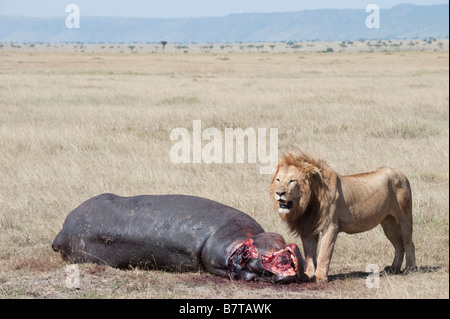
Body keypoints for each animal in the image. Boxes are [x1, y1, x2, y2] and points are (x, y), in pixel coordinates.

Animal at [268, 150, 416, 282]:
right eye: (278, 180)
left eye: (292, 181)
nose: (279, 193)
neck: (308, 203)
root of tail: (401, 174)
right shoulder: (308, 228)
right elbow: (309, 253)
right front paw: (308, 275)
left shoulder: (330, 226)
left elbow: (324, 253)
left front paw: (320, 277)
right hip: (388, 223)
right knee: (398, 245)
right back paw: (394, 268)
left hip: (404, 217)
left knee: (409, 243)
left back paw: (410, 268)